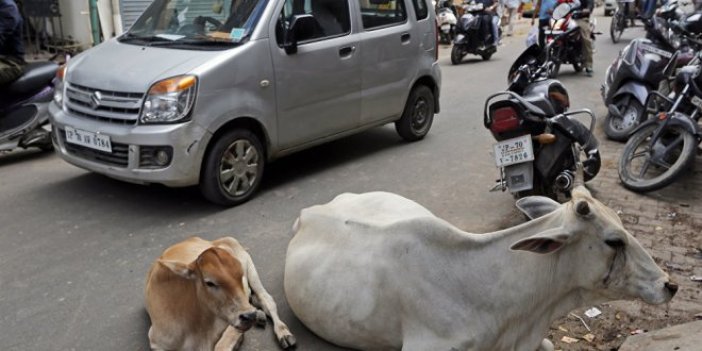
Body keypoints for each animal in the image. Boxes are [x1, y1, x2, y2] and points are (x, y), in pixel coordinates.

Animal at [146, 236, 294, 351]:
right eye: (209, 282)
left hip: (250, 267)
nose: (249, 316)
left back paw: (283, 333)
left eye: (240, 276)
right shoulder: (156, 342)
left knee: (266, 299)